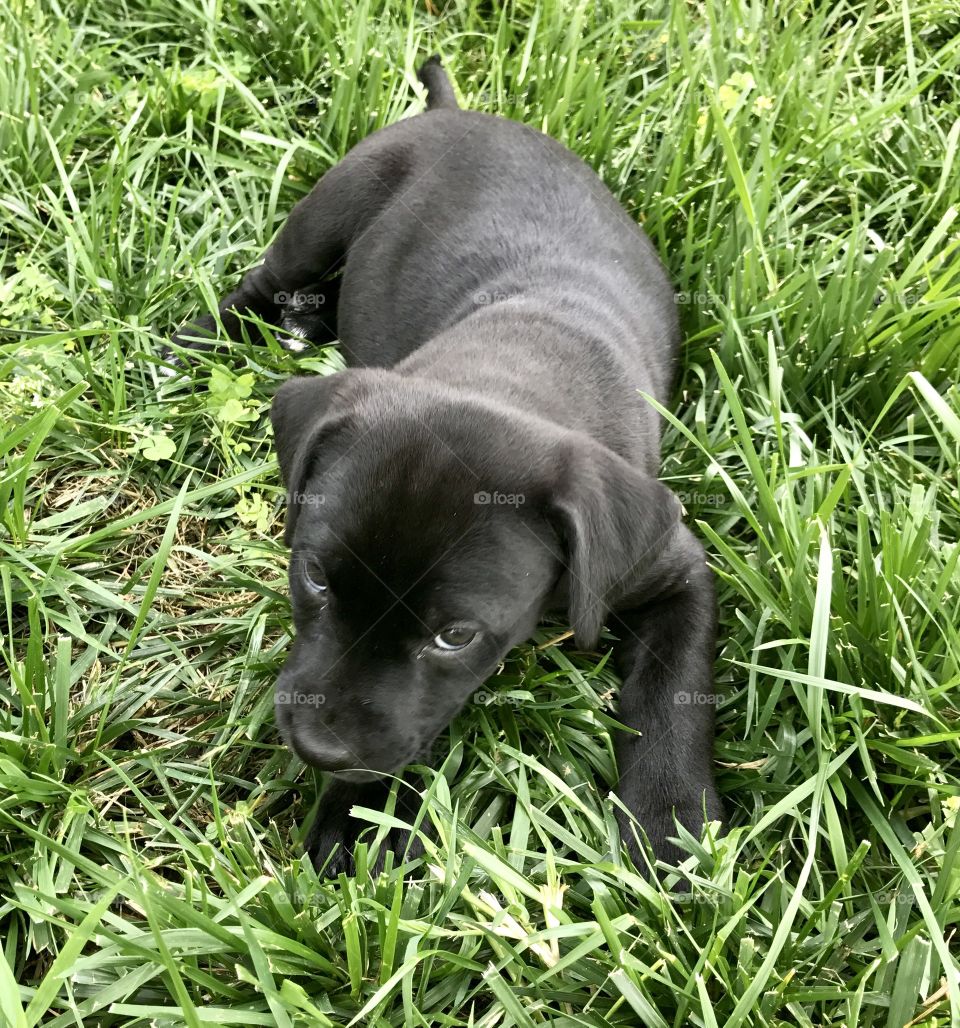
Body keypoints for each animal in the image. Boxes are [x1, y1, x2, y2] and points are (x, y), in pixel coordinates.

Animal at [172, 58, 723, 875]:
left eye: (457, 637)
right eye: (315, 578)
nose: (320, 749)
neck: (514, 367)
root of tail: (455, 113)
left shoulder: (674, 569)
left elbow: (673, 690)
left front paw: (669, 823)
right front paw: (358, 819)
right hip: (327, 211)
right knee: (260, 280)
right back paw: (196, 342)